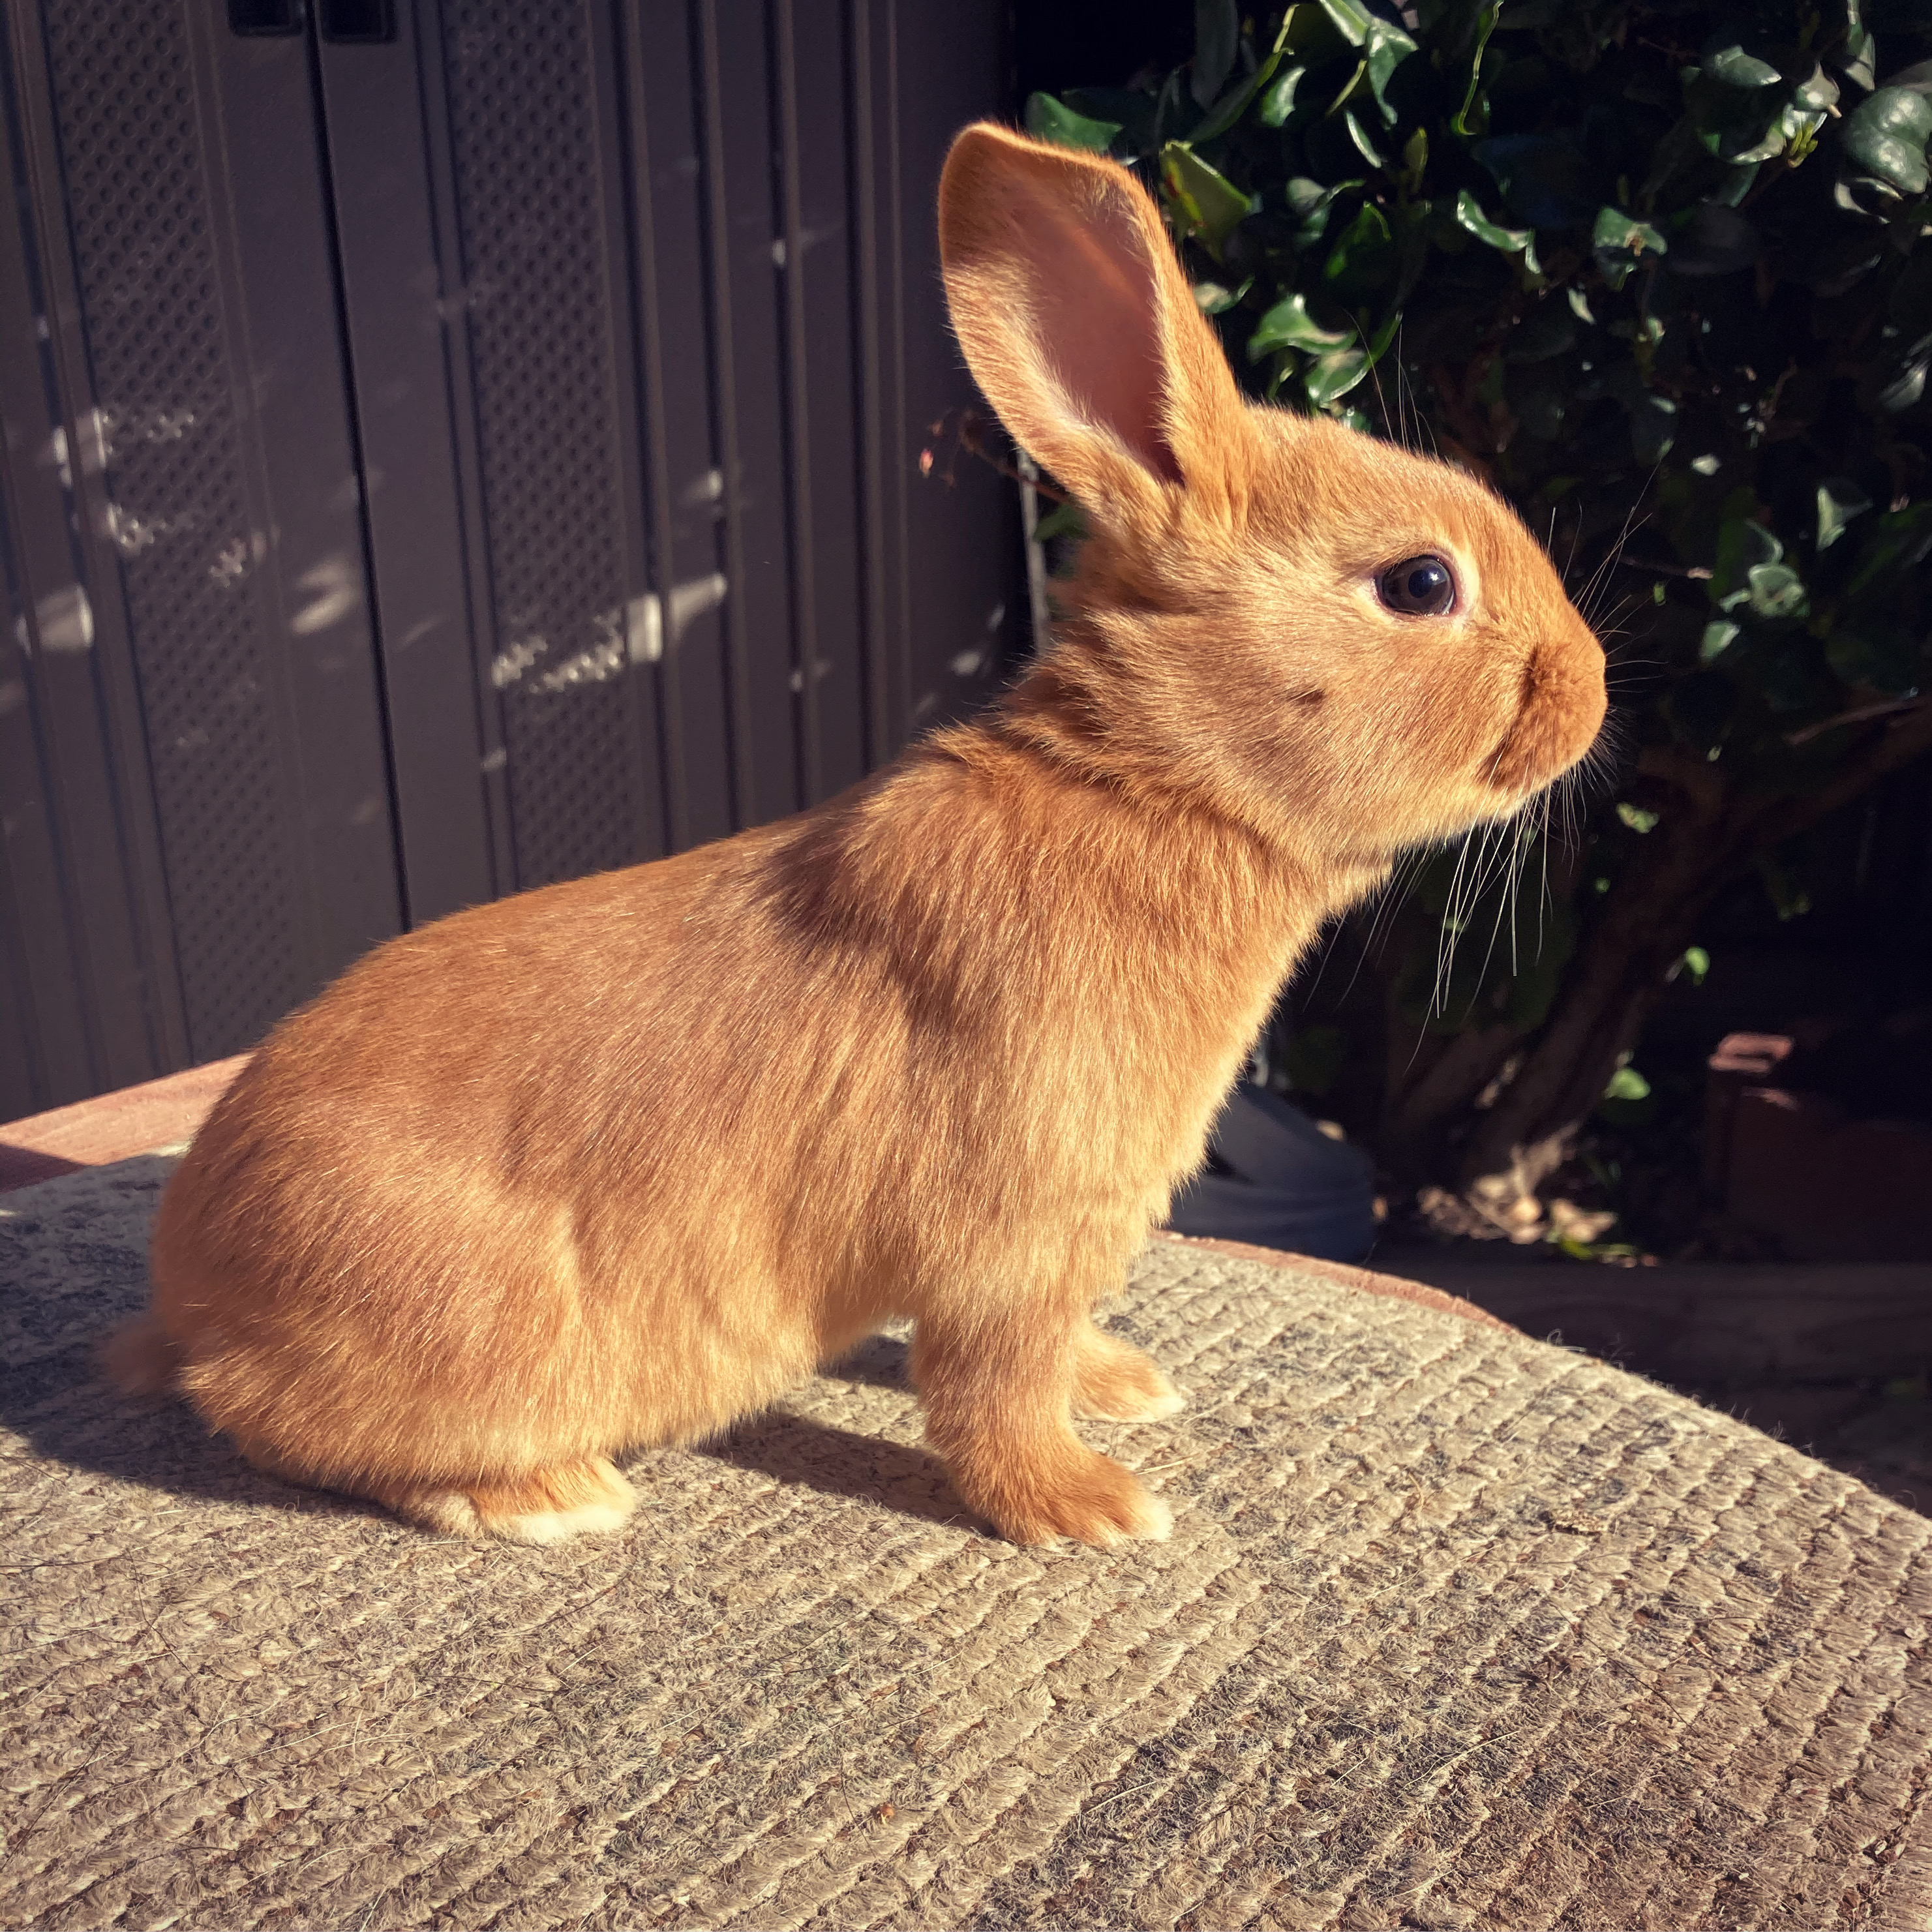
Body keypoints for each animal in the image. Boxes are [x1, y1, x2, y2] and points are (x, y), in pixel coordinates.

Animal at [107, 122, 1605, 1550]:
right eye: (1419, 583)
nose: (1590, 688)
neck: (1153, 786)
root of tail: (190, 1294)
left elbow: (1044, 1349)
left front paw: (1122, 1384)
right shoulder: (1013, 1237)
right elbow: (991, 1385)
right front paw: (1084, 1505)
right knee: (287, 1426)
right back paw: (545, 1495)